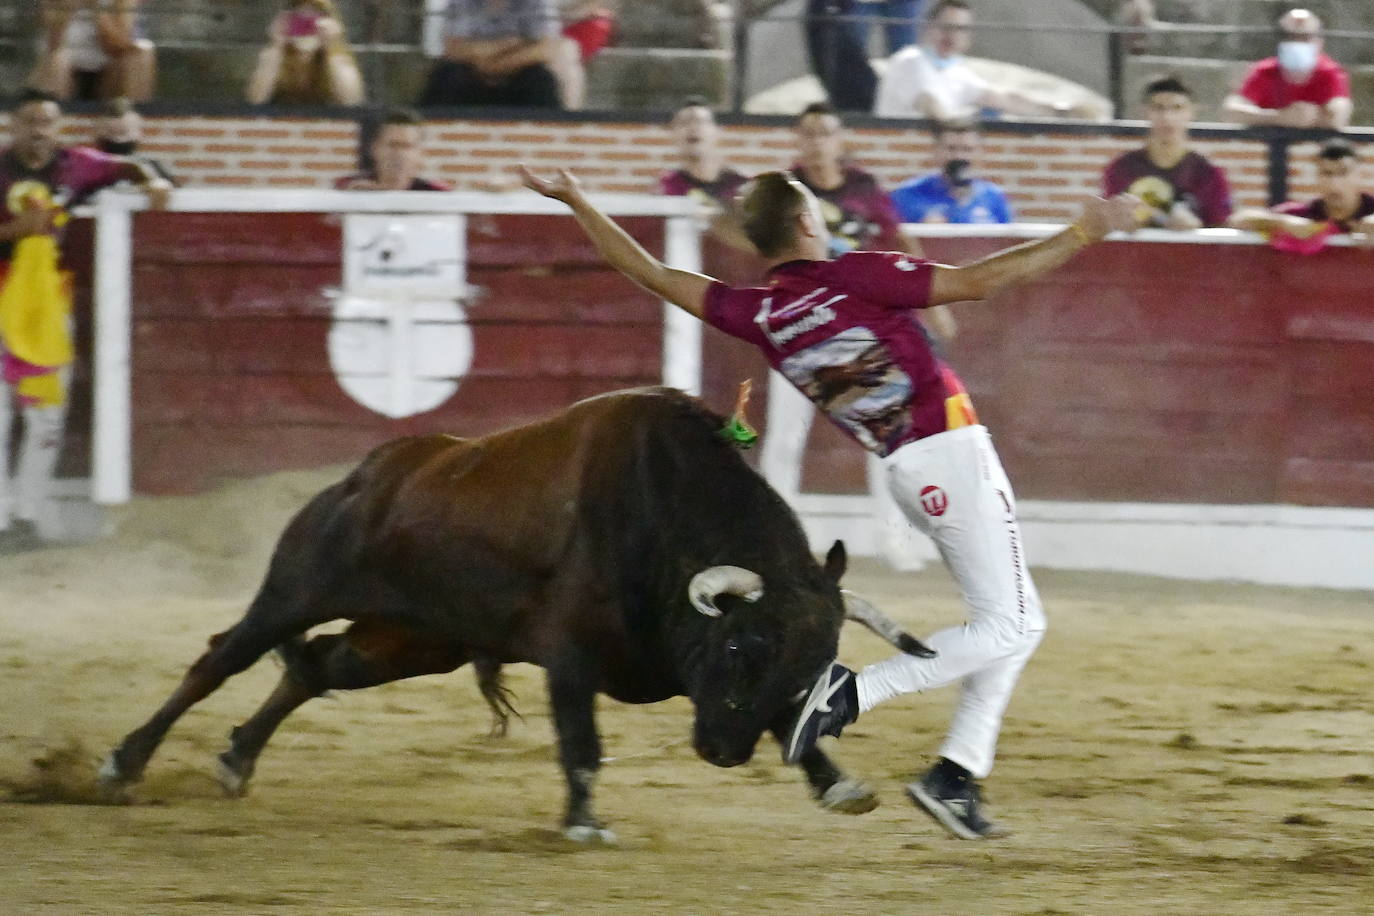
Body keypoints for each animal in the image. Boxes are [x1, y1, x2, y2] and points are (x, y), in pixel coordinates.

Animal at [101, 384, 928, 840]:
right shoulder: (570, 657)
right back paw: (123, 763)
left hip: (409, 640)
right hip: (298, 588)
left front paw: (838, 785)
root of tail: (365, 476)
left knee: (315, 668)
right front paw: (584, 824)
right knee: (221, 658)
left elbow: (794, 725)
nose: (724, 754)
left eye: (814, 667)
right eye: (736, 648)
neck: (664, 518)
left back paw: (237, 758)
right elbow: (580, 743)